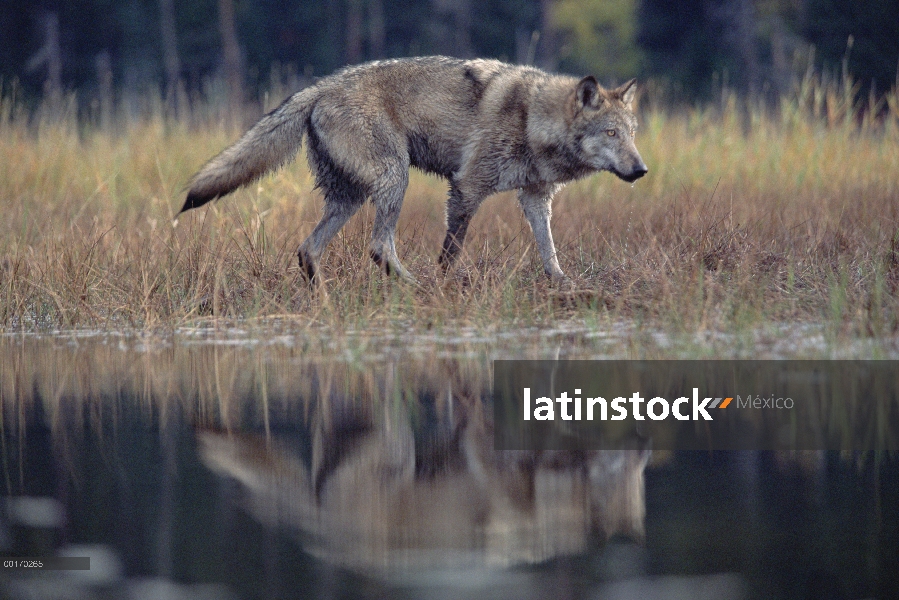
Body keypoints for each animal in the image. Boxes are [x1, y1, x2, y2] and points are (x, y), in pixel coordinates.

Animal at [181, 56, 648, 284]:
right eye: (610, 134)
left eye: (631, 134)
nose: (642, 169)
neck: (532, 117)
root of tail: (319, 87)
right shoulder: (466, 188)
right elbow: (451, 253)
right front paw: (444, 286)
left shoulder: (535, 198)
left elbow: (549, 250)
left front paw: (564, 284)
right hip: (394, 177)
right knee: (378, 247)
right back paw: (416, 286)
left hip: (350, 197)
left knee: (308, 250)